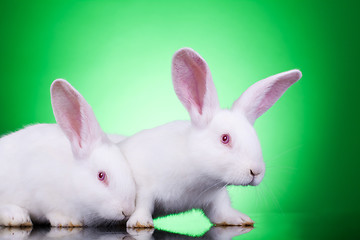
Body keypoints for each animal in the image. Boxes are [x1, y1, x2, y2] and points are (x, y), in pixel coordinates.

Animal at [0, 79, 136, 227]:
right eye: (101, 176)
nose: (127, 211)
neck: (71, 178)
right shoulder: (41, 190)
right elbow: (52, 211)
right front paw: (68, 221)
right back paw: (17, 217)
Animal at [119, 47, 302, 228]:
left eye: (255, 137)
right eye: (225, 138)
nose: (255, 171)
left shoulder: (216, 198)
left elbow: (222, 211)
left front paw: (240, 219)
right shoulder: (144, 187)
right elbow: (142, 204)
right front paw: (140, 222)